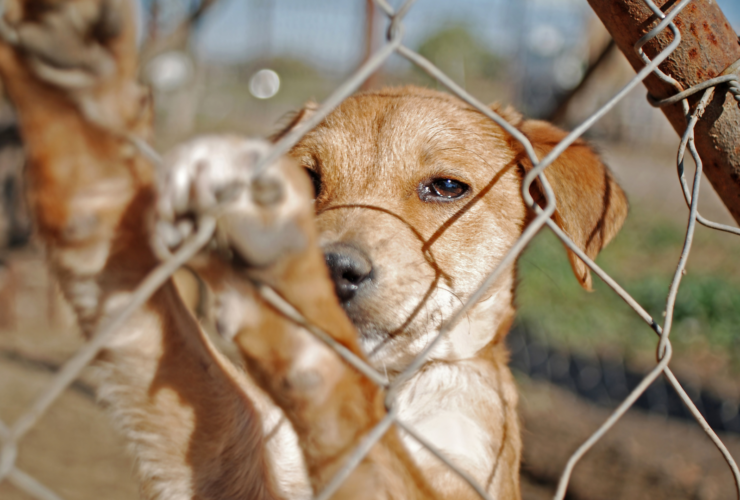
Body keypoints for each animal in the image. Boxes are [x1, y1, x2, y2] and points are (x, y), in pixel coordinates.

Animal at [0, 1, 628, 498]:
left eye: (447, 187)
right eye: (306, 179)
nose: (335, 269)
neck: (394, 388)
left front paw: (294, 295)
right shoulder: (229, 456)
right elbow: (156, 326)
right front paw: (72, 98)